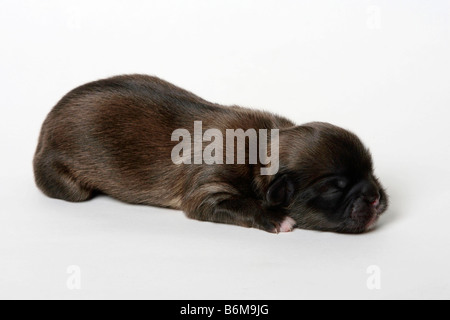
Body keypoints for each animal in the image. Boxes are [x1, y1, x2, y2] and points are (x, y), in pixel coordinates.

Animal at [34, 75, 386, 235]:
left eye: (371, 170)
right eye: (333, 188)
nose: (374, 198)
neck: (261, 148)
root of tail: (43, 127)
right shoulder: (208, 187)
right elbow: (236, 203)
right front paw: (277, 218)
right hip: (64, 180)